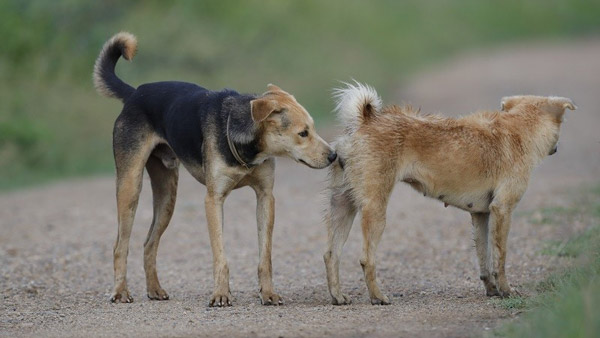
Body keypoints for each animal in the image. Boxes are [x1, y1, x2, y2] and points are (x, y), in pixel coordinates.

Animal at [94, 31, 338, 306]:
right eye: (303, 133)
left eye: (313, 129)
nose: (333, 155)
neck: (248, 149)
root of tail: (135, 93)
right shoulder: (214, 200)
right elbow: (220, 256)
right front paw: (220, 294)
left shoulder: (266, 197)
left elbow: (265, 256)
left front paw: (268, 293)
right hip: (130, 187)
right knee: (120, 246)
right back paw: (120, 292)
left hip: (167, 196)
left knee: (149, 244)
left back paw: (155, 289)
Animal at [324, 82, 576, 306]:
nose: (557, 148)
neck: (519, 127)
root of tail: (364, 120)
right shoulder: (502, 209)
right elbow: (500, 258)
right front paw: (506, 291)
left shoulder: (481, 215)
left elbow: (484, 260)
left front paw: (492, 290)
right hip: (375, 209)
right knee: (366, 259)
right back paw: (378, 297)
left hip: (342, 206)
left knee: (331, 254)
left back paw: (338, 297)